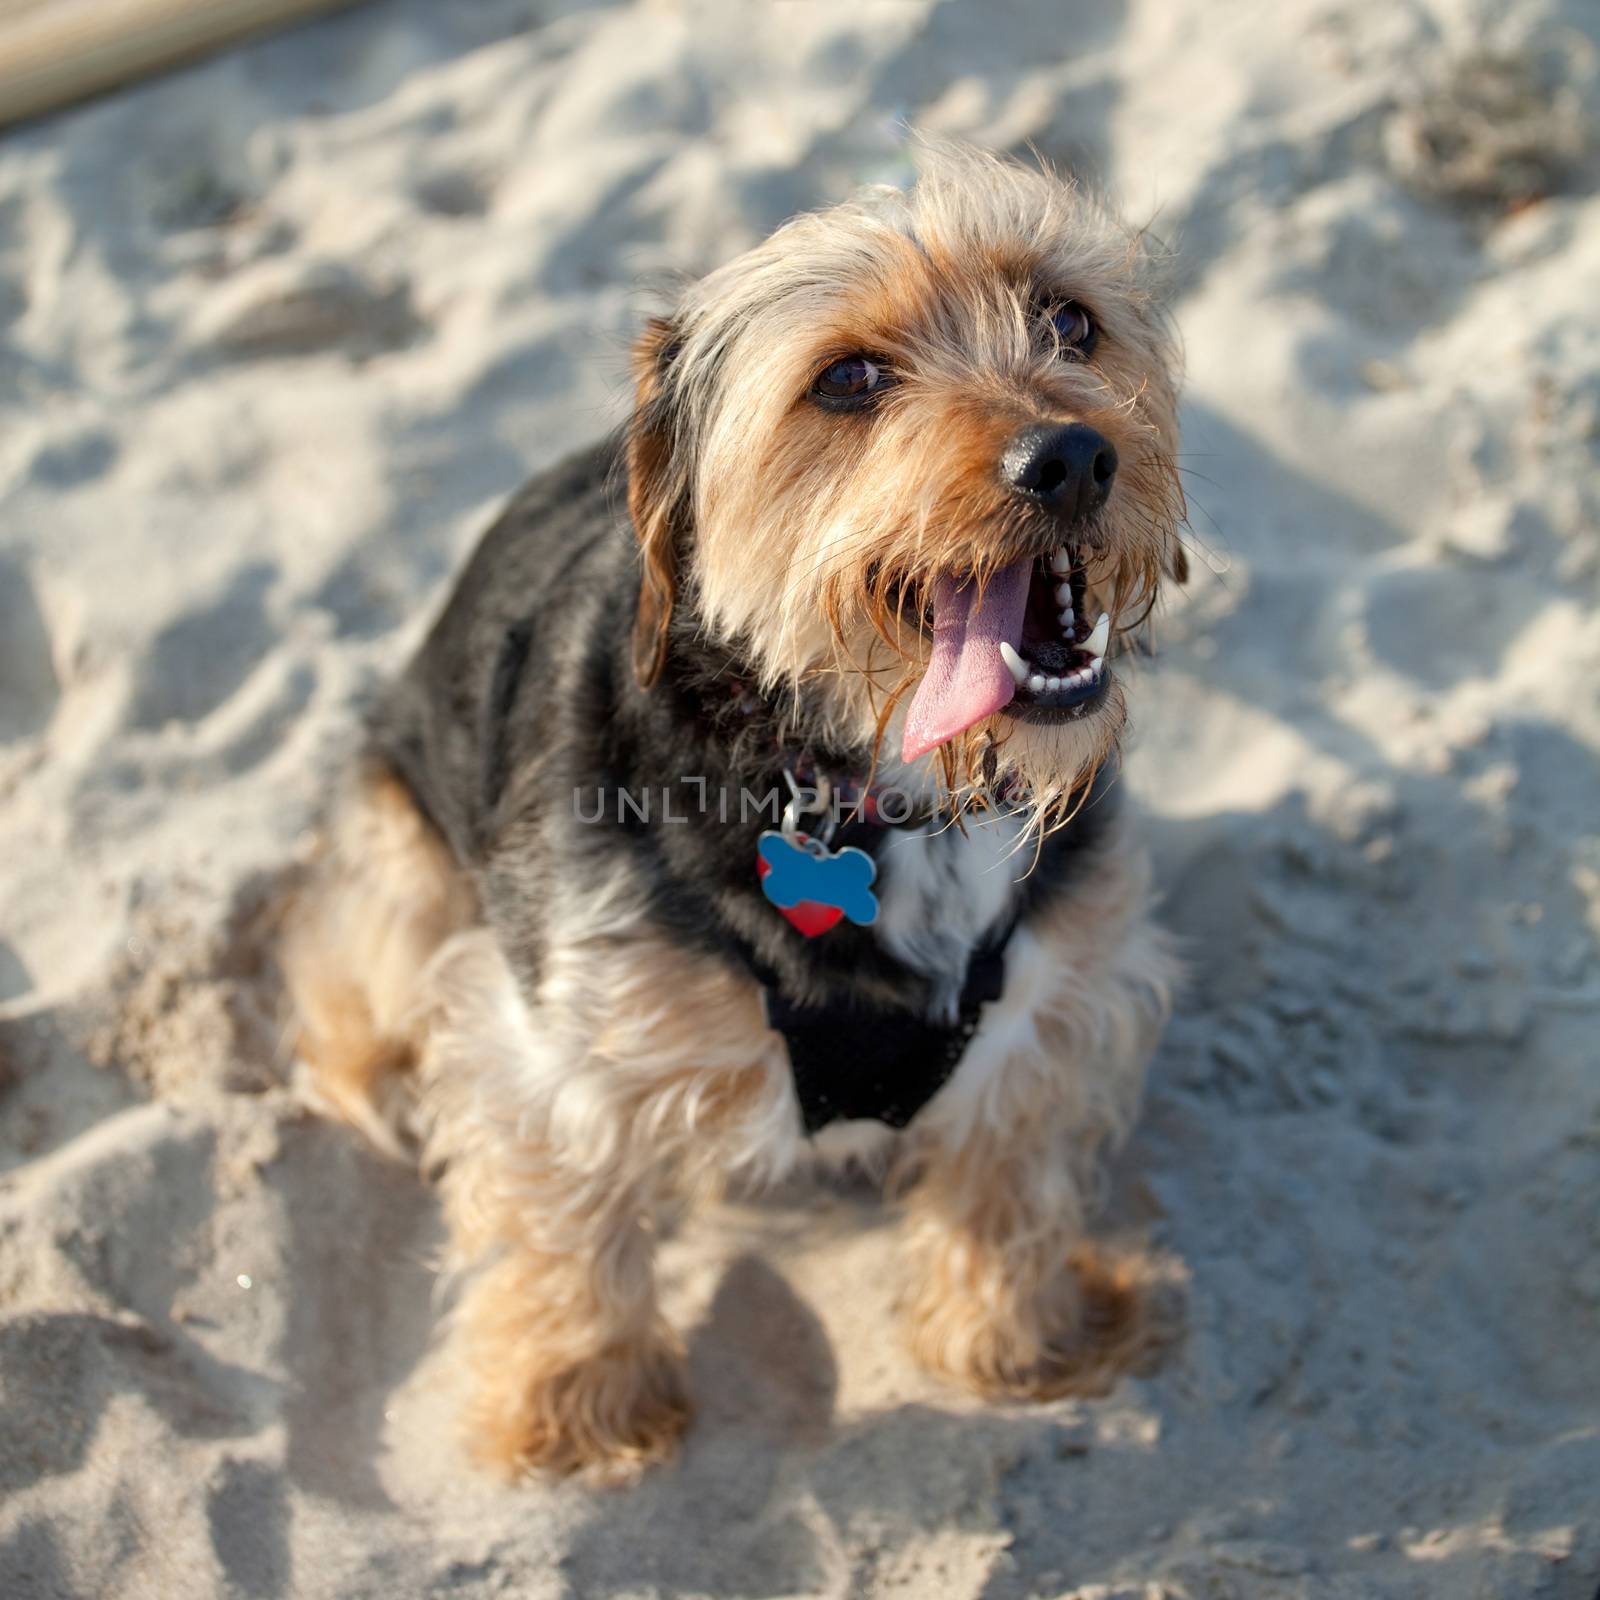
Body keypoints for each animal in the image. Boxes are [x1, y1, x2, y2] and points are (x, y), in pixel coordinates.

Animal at [284, 144, 1190, 1478]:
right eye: (849, 378)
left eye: (1069, 320)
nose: (1071, 457)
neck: (887, 791)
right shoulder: (555, 1043)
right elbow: (564, 1224)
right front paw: (579, 1405)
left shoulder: (1057, 1001)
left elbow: (1006, 1177)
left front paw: (1015, 1340)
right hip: (399, 857)